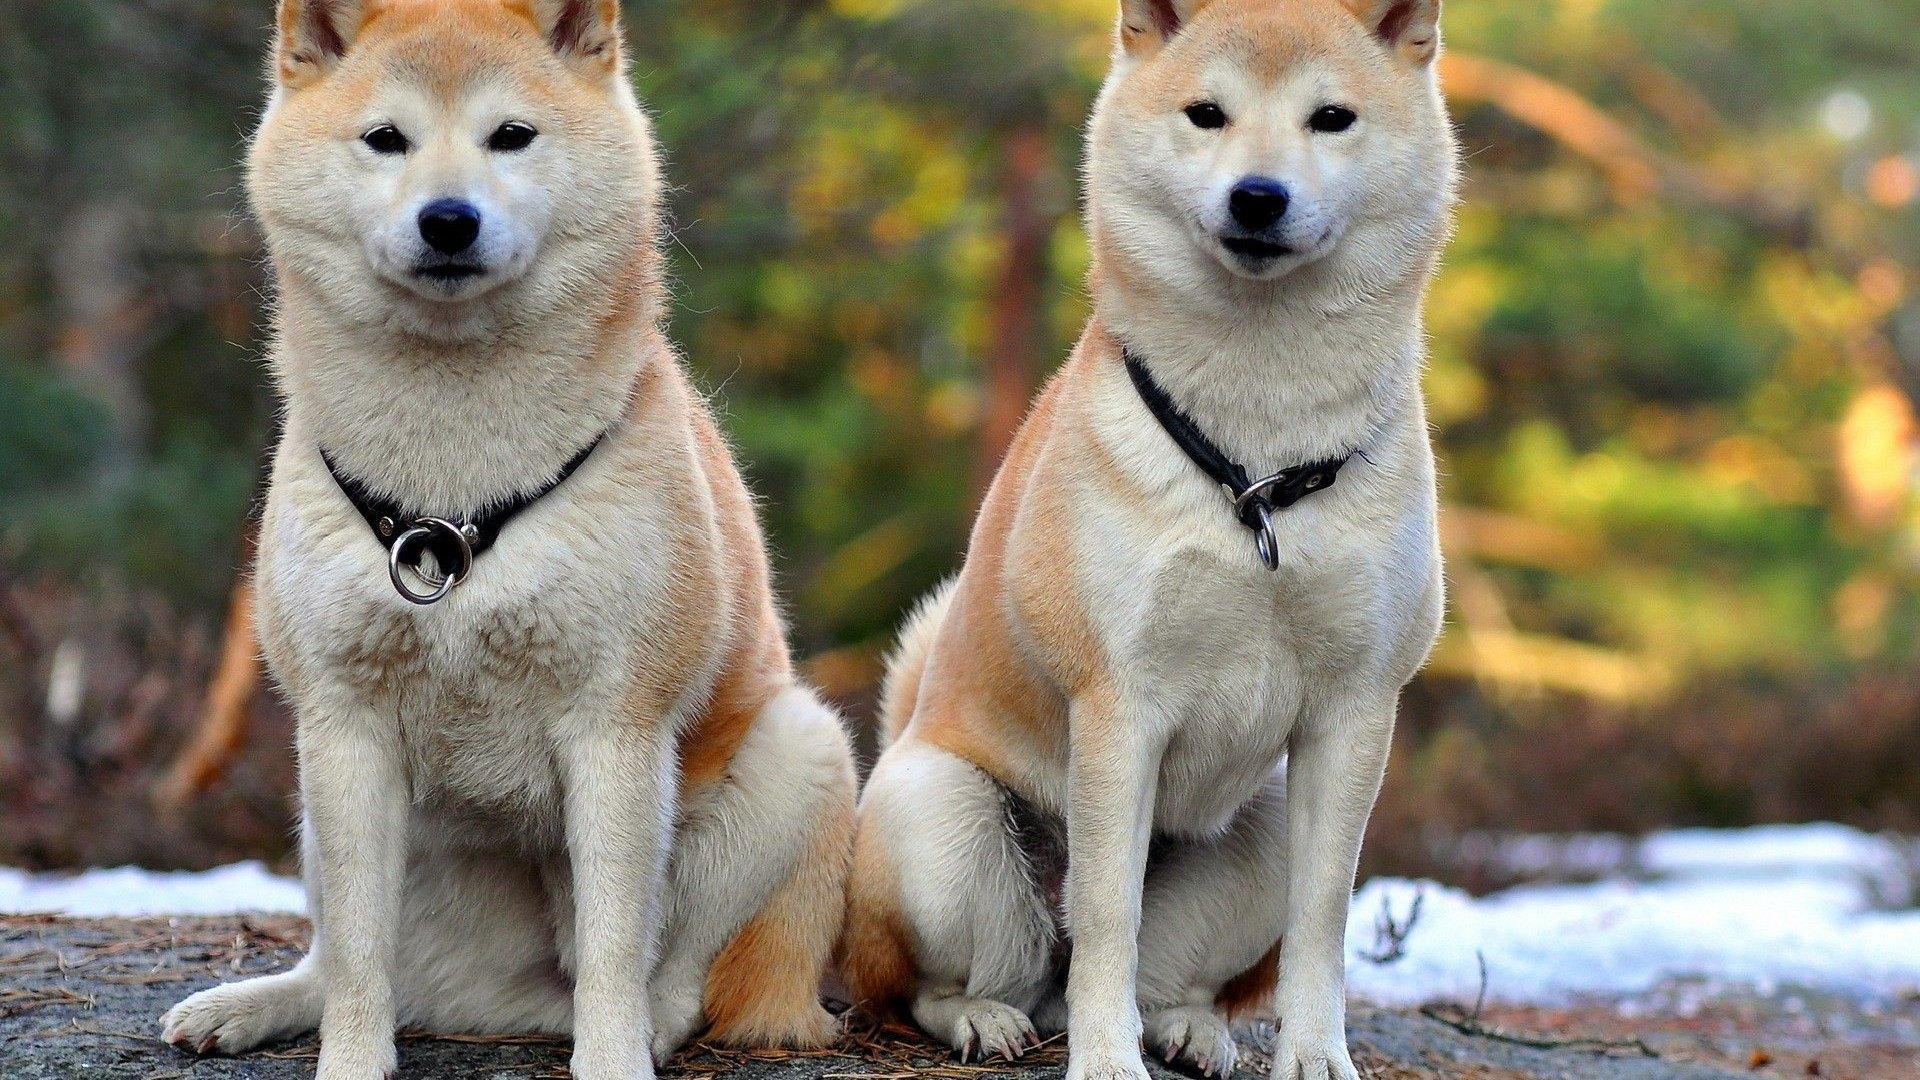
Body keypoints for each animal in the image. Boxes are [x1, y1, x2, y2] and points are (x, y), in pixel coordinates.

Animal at [163, 4, 856, 1068]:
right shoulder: (344, 726)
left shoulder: (616, 727)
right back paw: (255, 1003)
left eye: (511, 136)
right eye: (387, 139)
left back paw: (641, 1030)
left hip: (799, 752)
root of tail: (496, 1003)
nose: (448, 218)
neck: (452, 494)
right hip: (319, 810)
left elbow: (614, 950)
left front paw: (611, 1064)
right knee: (346, 964)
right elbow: (358, 961)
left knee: (666, 983)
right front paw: (351, 1065)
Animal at [840, 2, 1451, 1076]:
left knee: (1176, 978)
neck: (1258, 464)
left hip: (1259, 832)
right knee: (940, 983)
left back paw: (1191, 1028)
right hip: (941, 826)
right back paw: (987, 1017)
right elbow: (1106, 913)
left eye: (1330, 118)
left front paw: (1314, 1053)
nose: (1258, 196)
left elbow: (1325, 916)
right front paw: (1104, 1058)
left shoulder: (1354, 709)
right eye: (1207, 114)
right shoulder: (1119, 705)